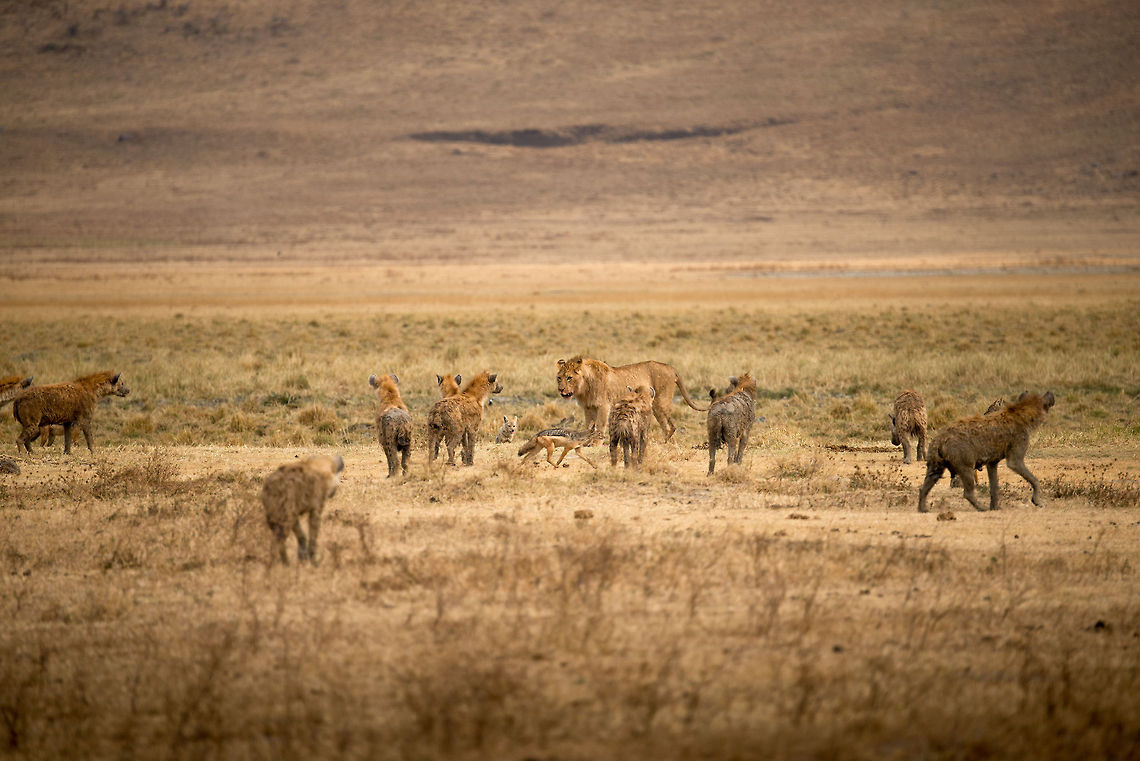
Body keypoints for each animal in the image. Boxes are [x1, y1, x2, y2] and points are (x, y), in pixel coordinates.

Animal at [556, 356, 706, 441]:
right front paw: (586, 441)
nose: (561, 389)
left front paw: (596, 442)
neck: (584, 386)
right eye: (559, 378)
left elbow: (600, 426)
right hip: (655, 407)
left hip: (661, 402)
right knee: (667, 426)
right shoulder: (588, 407)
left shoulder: (604, 405)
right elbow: (589, 426)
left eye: (569, 378)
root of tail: (670, 367)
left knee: (671, 426)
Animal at [918, 391, 1055, 513]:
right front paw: (1037, 501)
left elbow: (994, 486)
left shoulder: (992, 462)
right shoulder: (1015, 457)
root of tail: (940, 438)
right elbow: (1033, 478)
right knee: (967, 492)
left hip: (935, 465)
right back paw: (981, 508)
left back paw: (922, 509)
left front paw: (995, 507)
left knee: (925, 485)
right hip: (965, 465)